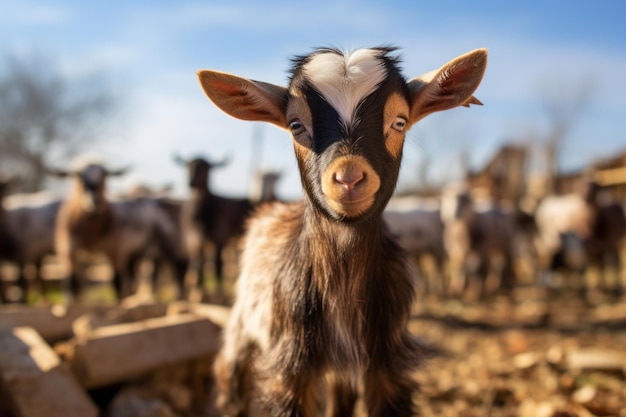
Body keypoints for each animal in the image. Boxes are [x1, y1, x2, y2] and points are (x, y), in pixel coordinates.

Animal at [197, 46, 486, 416]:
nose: (348, 178)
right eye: (295, 125)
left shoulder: (386, 362)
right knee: (229, 377)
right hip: (241, 329)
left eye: (400, 121)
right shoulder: (290, 366)